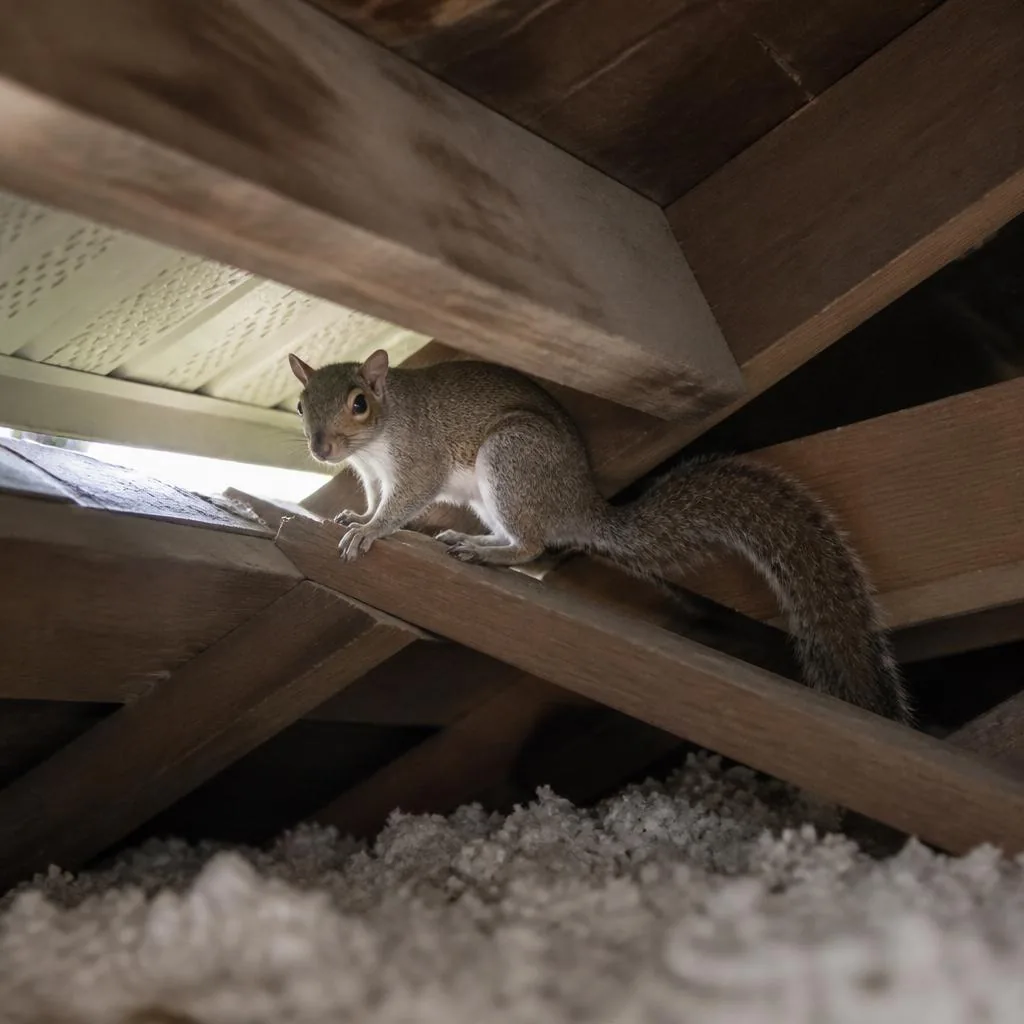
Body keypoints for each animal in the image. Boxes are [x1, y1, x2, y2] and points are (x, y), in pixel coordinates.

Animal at [288, 349, 911, 724]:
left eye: (360, 403)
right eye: (300, 404)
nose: (321, 446)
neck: (377, 440)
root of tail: (580, 505)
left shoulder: (417, 459)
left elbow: (405, 500)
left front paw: (371, 532)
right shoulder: (372, 474)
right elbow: (375, 499)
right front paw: (355, 519)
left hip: (511, 462)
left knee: (532, 545)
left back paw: (483, 550)